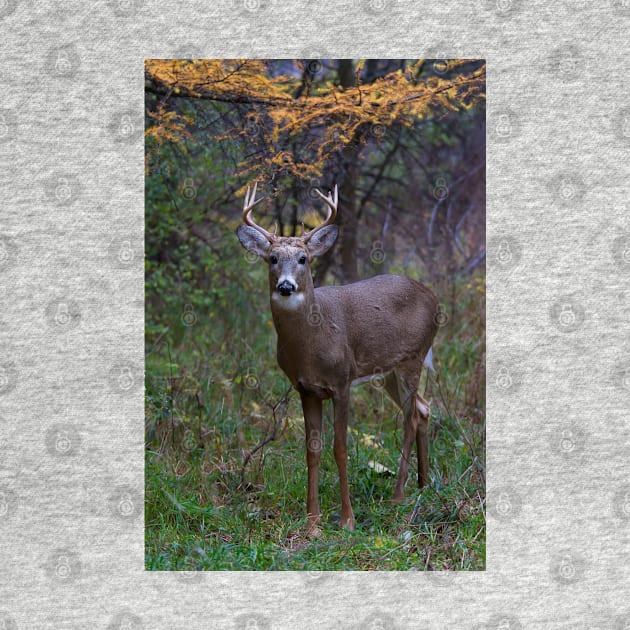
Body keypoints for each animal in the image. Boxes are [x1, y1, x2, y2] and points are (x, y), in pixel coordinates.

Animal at [237, 183, 440, 532]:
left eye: (303, 258)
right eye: (272, 258)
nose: (286, 286)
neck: (311, 345)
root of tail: (434, 298)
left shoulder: (341, 381)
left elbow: (340, 448)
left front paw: (347, 519)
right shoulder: (306, 389)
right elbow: (312, 451)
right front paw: (311, 521)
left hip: (412, 358)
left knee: (411, 417)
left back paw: (398, 494)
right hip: (388, 370)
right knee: (423, 408)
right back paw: (422, 483)